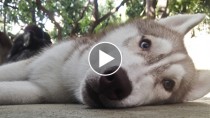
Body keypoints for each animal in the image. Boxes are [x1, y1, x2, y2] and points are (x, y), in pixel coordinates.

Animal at [0, 13, 209, 108]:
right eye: (145, 44)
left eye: (168, 84)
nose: (117, 82)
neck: (68, 76)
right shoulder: (28, 65)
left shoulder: (40, 91)